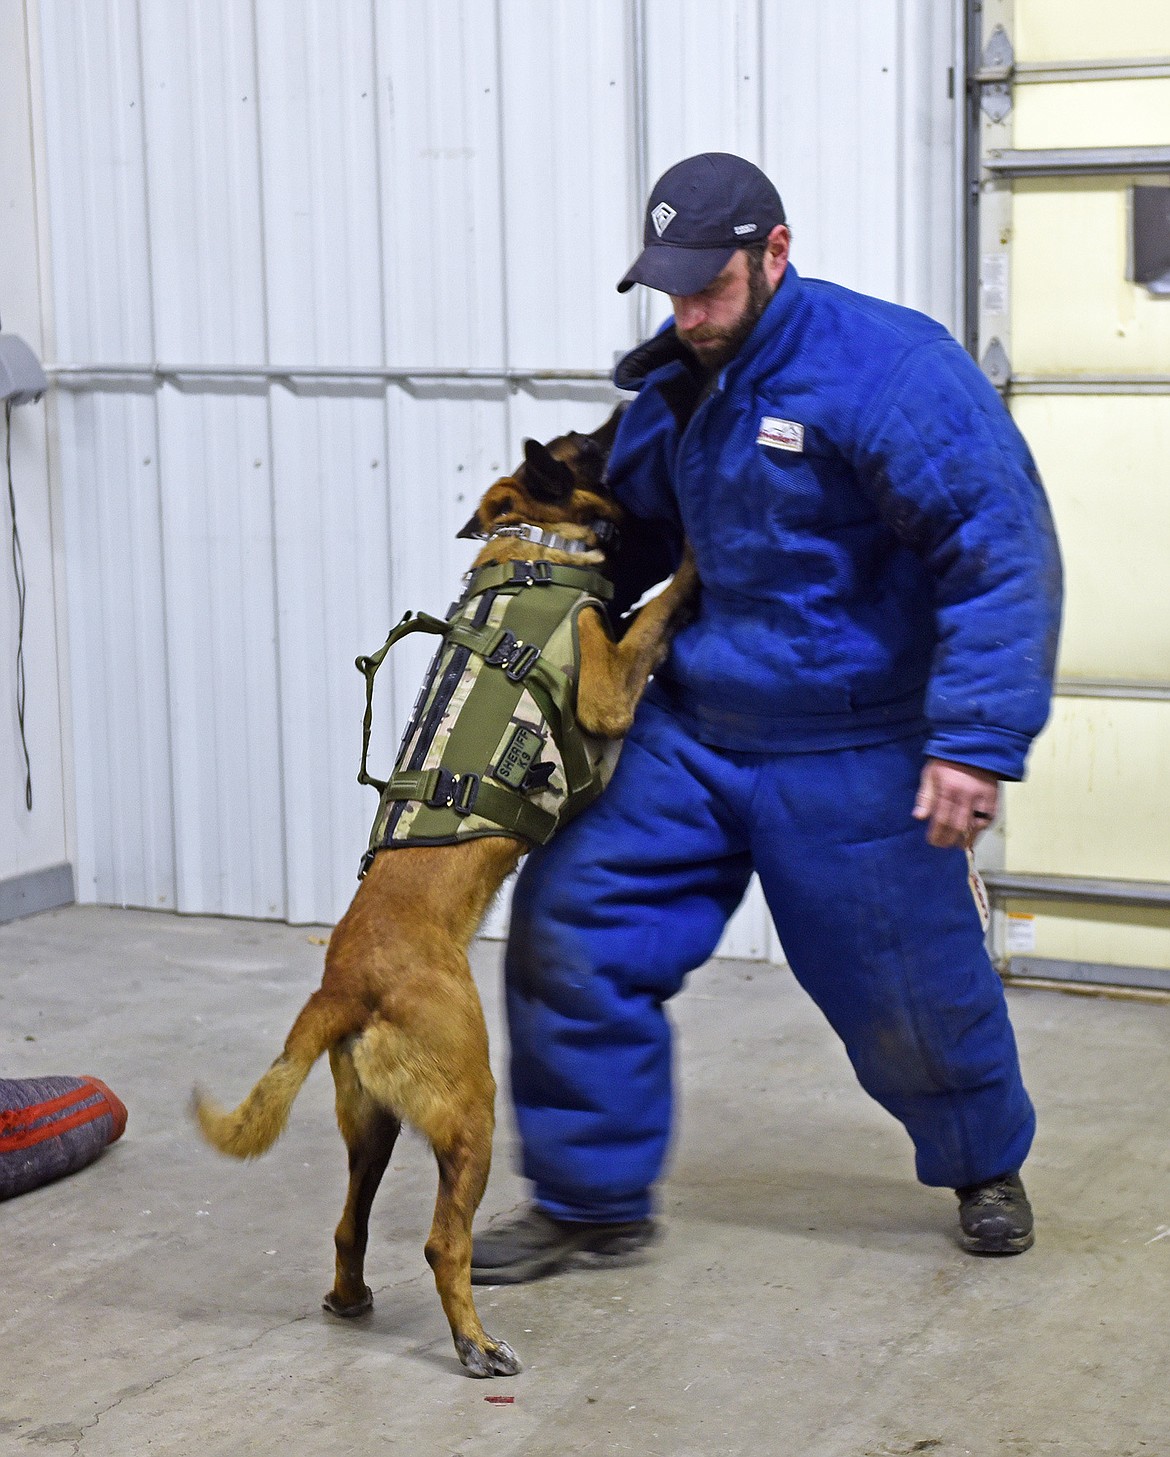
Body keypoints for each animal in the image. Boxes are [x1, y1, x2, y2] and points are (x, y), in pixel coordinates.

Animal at [193, 410, 696, 1375]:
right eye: (588, 444)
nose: (625, 405)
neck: (531, 547)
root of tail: (341, 984)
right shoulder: (607, 686)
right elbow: (654, 609)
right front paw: (694, 560)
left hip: (376, 1125)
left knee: (349, 1222)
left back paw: (352, 1297)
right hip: (470, 1110)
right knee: (440, 1241)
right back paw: (474, 1341)